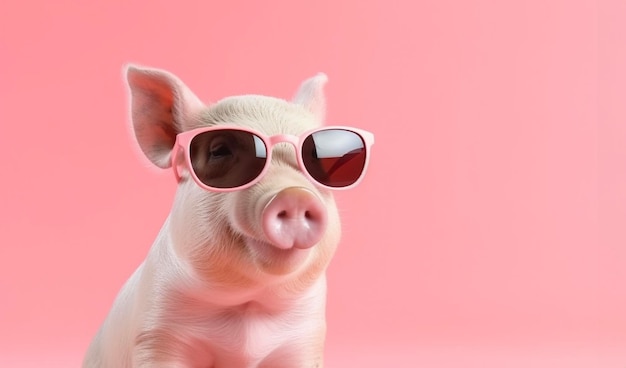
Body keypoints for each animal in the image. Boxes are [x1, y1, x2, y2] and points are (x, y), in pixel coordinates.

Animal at [83, 66, 370, 368]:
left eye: (318, 158)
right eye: (219, 151)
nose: (294, 194)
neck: (247, 309)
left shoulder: (305, 340)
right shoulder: (157, 334)